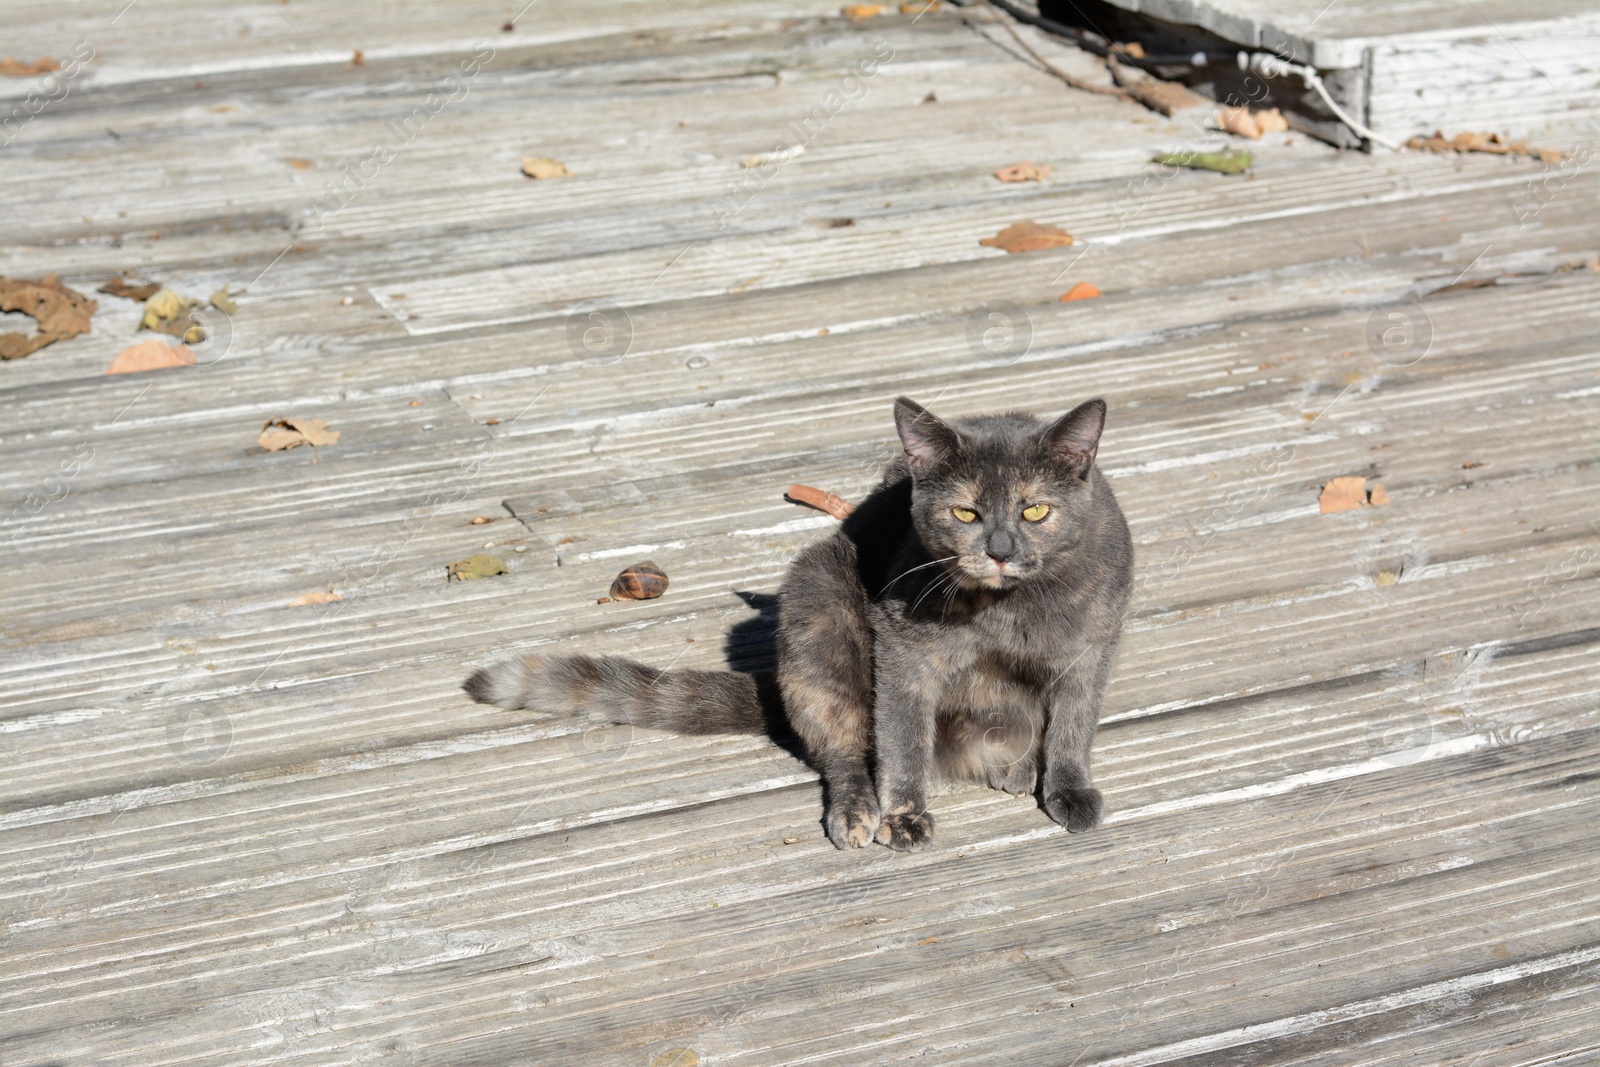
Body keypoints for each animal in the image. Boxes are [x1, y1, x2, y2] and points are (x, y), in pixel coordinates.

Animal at [467, 396, 1132, 857]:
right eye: (965, 512)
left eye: (1035, 509)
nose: (998, 550)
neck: (1005, 611)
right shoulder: (902, 651)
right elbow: (901, 740)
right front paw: (903, 816)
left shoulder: (1094, 647)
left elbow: (1073, 726)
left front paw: (1069, 790)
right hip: (820, 606)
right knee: (844, 749)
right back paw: (860, 812)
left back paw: (1016, 766)